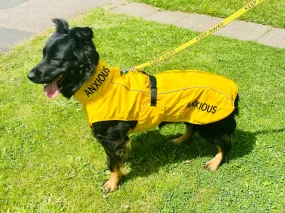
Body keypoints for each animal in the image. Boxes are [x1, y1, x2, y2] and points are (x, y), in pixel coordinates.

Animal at [28, 19, 237, 194]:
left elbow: (113, 165)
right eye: (43, 55)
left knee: (225, 143)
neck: (99, 86)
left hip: (209, 125)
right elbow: (116, 160)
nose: (29, 76)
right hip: (192, 116)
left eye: (55, 59)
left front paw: (112, 183)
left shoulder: (111, 139)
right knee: (191, 128)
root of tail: (234, 90)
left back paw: (215, 162)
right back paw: (180, 140)